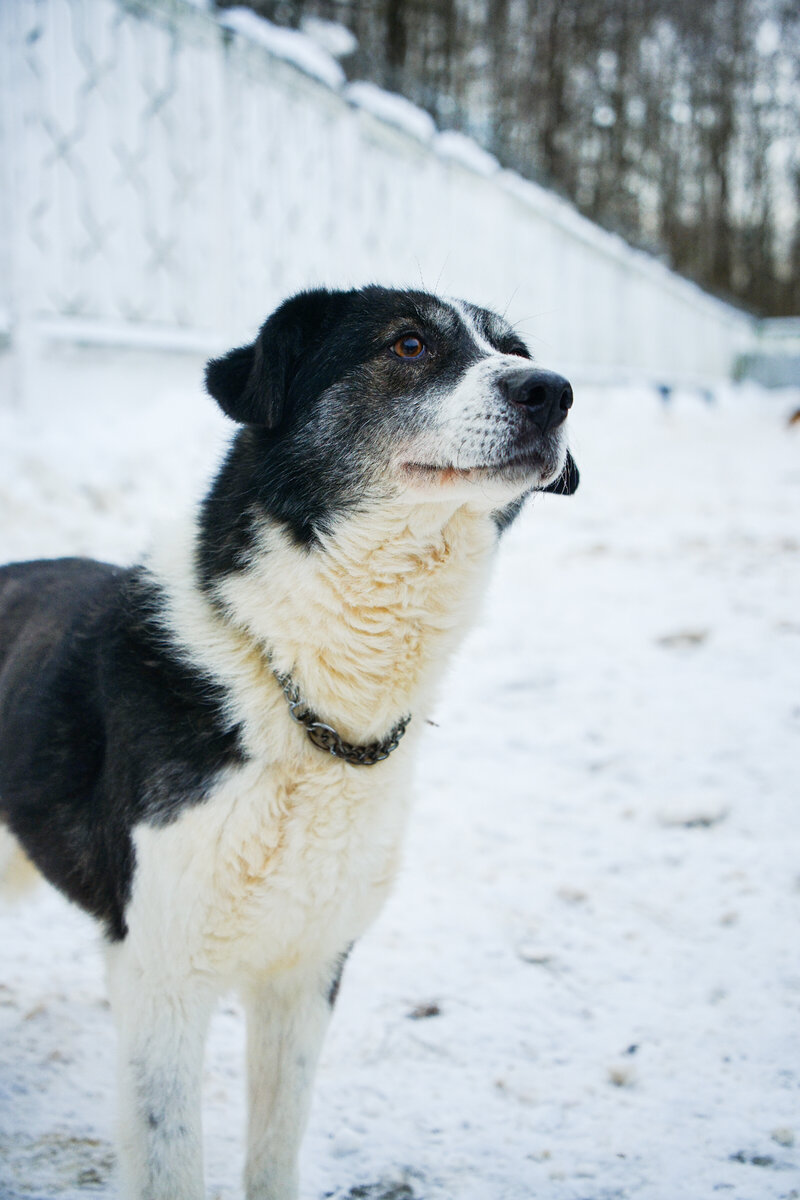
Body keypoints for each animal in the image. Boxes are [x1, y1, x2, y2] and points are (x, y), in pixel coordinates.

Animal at [0, 290, 578, 1200]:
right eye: (408, 343)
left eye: (514, 349)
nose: (551, 390)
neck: (295, 680)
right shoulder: (161, 977)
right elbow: (171, 1162)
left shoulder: (306, 971)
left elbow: (275, 1149)